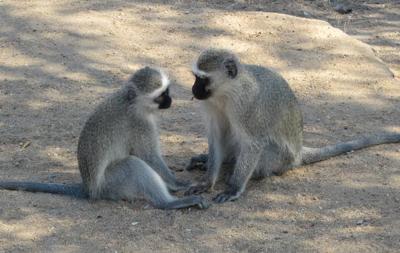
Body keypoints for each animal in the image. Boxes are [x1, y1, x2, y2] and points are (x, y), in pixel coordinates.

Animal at [0, 65, 209, 210]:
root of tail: (89, 188)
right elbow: (149, 157)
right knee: (133, 165)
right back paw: (169, 203)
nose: (170, 100)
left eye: (167, 91)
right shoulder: (140, 124)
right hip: (111, 184)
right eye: (160, 96)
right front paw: (179, 183)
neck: (131, 102)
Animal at [188, 48, 400, 204]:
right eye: (196, 77)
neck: (228, 92)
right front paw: (207, 181)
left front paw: (233, 188)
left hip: (281, 158)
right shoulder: (211, 103)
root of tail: (298, 153)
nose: (193, 90)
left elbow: (253, 144)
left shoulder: (248, 105)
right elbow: (217, 137)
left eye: (203, 79)